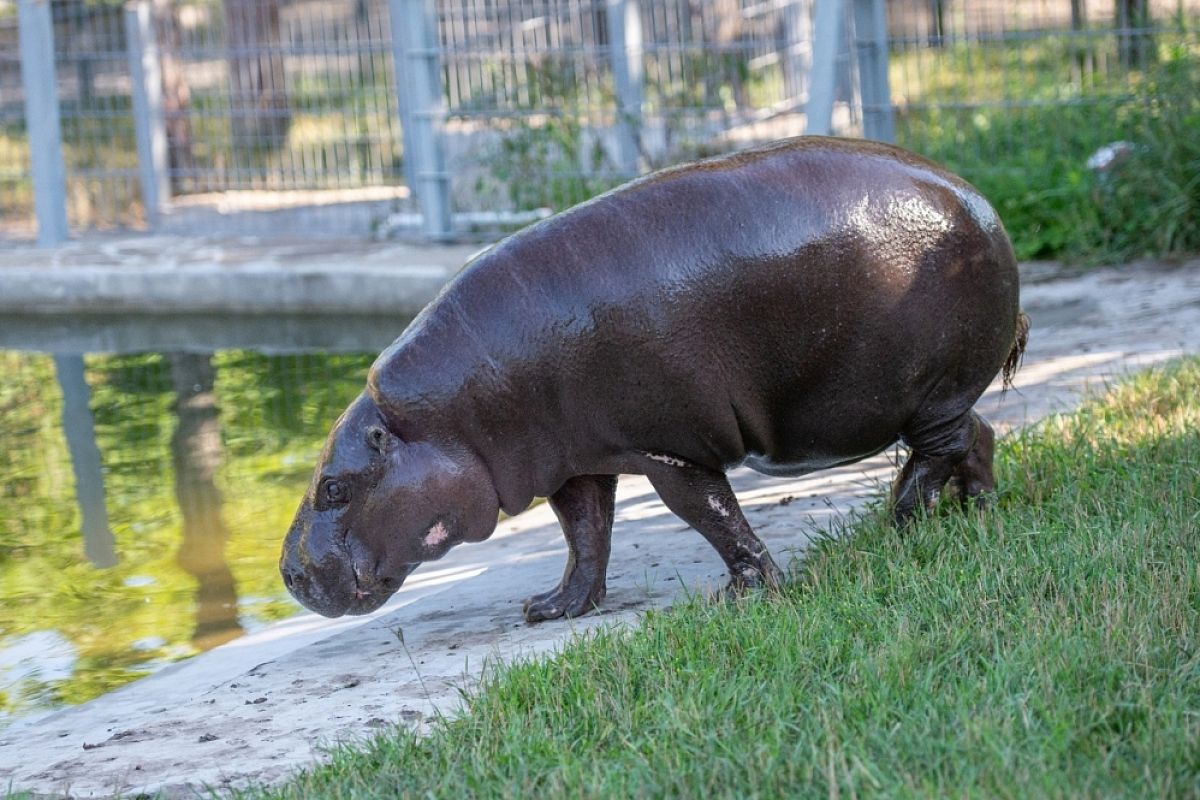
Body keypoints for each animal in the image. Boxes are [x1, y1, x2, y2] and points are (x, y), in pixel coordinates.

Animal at [276, 136, 1027, 623]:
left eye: (334, 486)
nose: (287, 571)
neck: (448, 420)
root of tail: (982, 202)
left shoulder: (671, 449)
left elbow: (710, 514)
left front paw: (741, 597)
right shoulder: (576, 462)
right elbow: (585, 535)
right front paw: (550, 609)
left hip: (928, 393)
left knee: (938, 451)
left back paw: (899, 524)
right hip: (932, 395)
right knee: (976, 434)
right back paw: (975, 511)